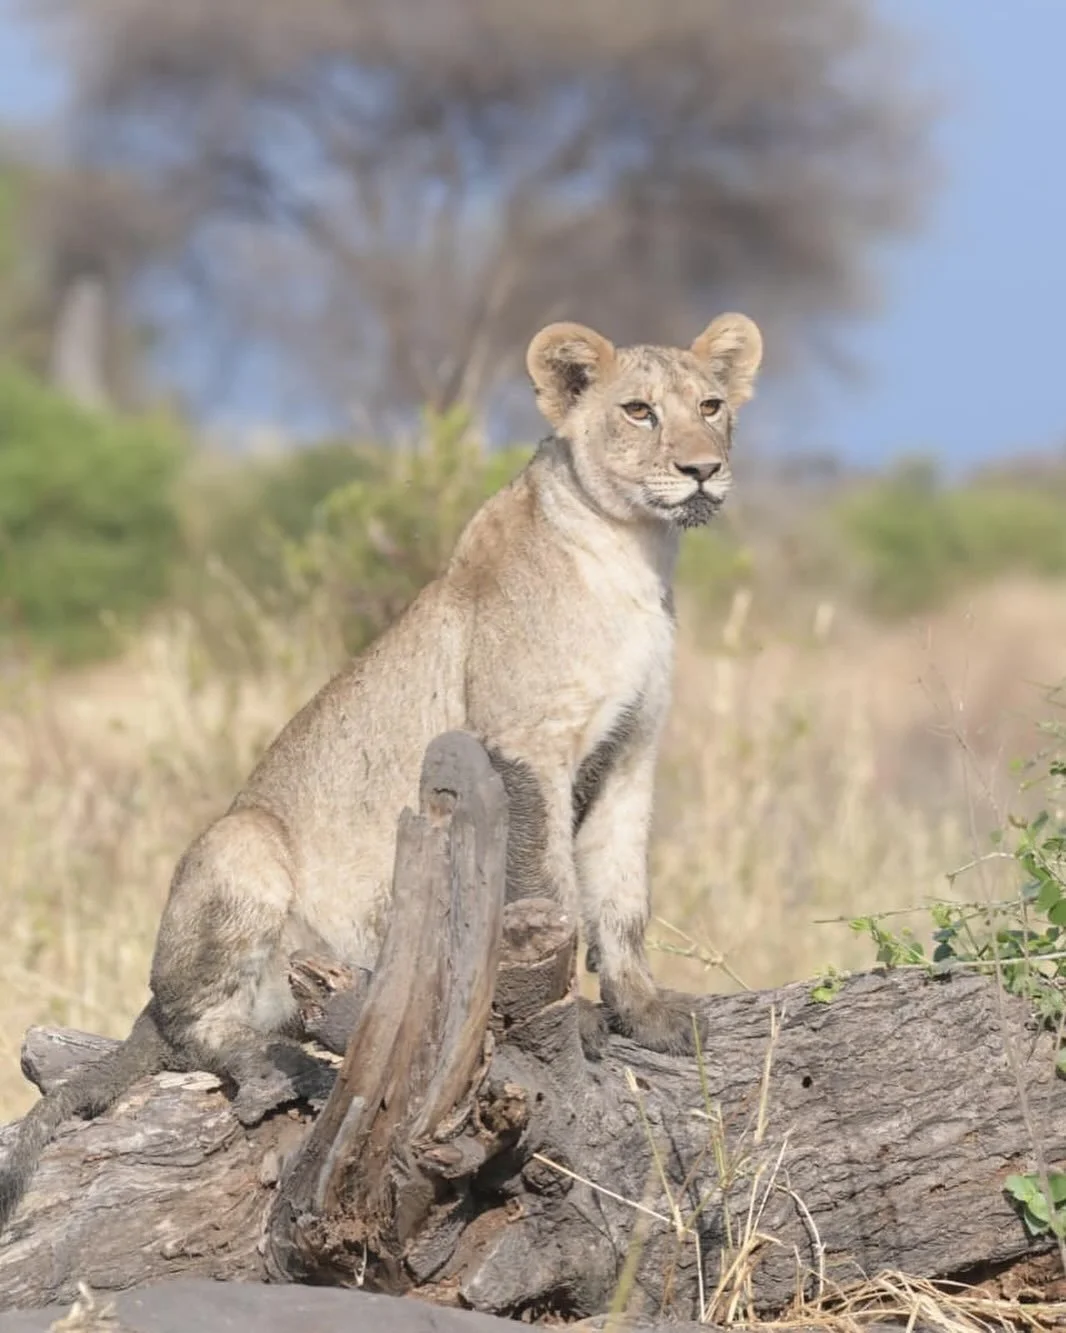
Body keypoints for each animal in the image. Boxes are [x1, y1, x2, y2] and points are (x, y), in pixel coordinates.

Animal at [0, 310, 763, 1228]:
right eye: (639, 411)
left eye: (712, 405)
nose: (702, 467)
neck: (636, 554)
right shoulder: (523, 744)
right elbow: (552, 888)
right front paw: (574, 1023)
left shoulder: (630, 756)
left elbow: (621, 896)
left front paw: (646, 1014)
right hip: (240, 842)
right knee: (194, 1025)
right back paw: (275, 1064)